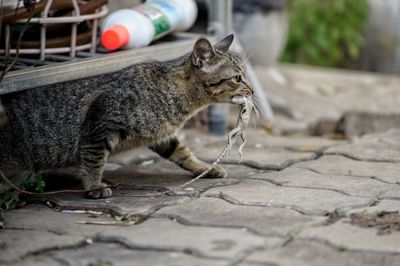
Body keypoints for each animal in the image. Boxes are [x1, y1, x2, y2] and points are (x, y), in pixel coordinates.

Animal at [0, 33, 253, 197]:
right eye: (238, 78)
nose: (251, 90)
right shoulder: (99, 123)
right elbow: (93, 159)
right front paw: (94, 186)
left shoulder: (161, 135)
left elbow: (183, 153)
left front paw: (204, 168)